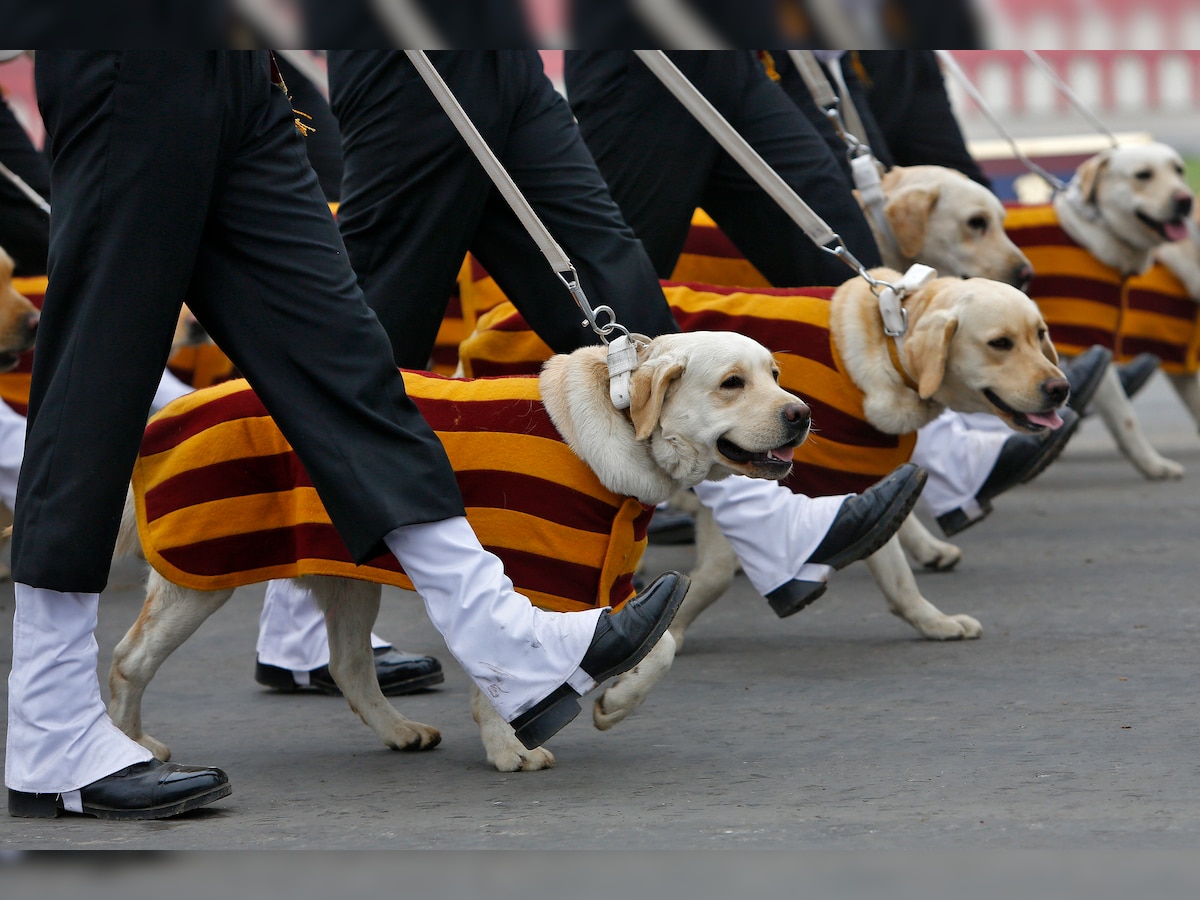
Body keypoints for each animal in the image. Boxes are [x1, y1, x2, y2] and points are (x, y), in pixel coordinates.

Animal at [108, 331, 811, 777]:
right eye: (731, 383)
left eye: (776, 375)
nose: (801, 414)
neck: (615, 428)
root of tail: (165, 416)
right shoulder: (524, 579)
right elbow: (503, 670)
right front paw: (511, 749)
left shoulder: (608, 584)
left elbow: (659, 645)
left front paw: (615, 705)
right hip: (198, 576)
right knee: (126, 661)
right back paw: (129, 746)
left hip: (350, 579)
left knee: (348, 666)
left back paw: (398, 731)